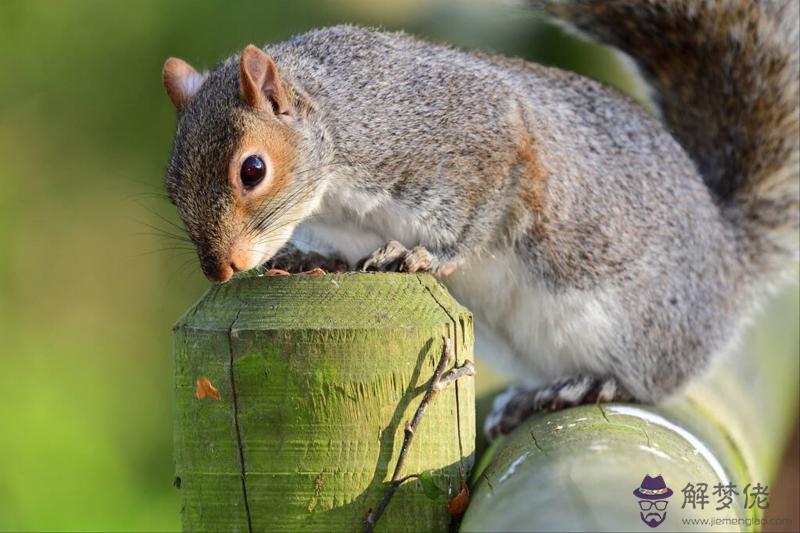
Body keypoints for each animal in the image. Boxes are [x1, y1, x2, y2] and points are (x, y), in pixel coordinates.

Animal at [162, 2, 800, 438]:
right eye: (171, 188)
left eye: (252, 169)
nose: (220, 269)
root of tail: (726, 260)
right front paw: (310, 257)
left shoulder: (485, 145)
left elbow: (477, 224)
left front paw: (420, 255)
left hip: (643, 325)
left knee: (654, 381)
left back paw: (592, 383)